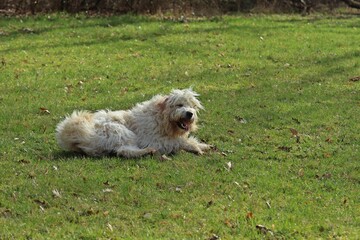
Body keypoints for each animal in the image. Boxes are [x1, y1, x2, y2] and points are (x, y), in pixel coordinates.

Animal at [54, 88, 210, 158]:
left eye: (192, 106)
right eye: (179, 105)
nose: (189, 113)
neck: (161, 118)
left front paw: (202, 145)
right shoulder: (154, 140)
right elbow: (179, 142)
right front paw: (194, 146)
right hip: (120, 131)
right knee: (124, 150)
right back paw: (147, 151)